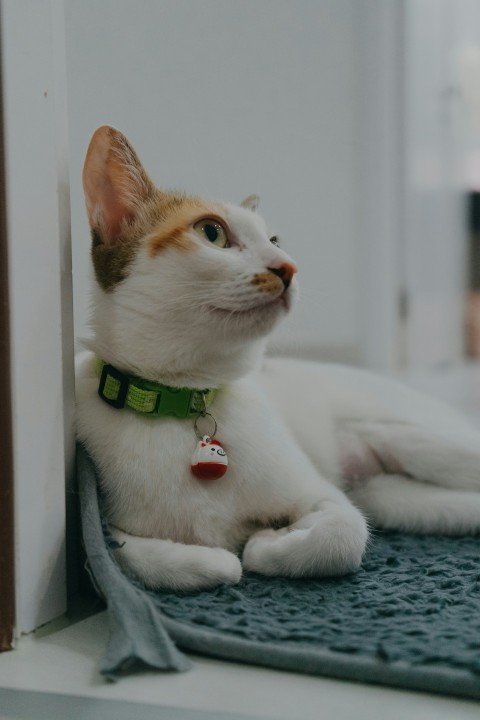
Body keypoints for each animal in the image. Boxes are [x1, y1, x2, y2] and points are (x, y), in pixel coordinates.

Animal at [74, 128, 480, 592]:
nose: (289, 267)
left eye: (274, 241)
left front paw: (268, 544)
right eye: (211, 232)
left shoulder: (323, 494)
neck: (185, 400)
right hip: (402, 500)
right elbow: (127, 558)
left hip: (428, 447)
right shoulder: (104, 528)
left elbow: (342, 535)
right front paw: (215, 558)